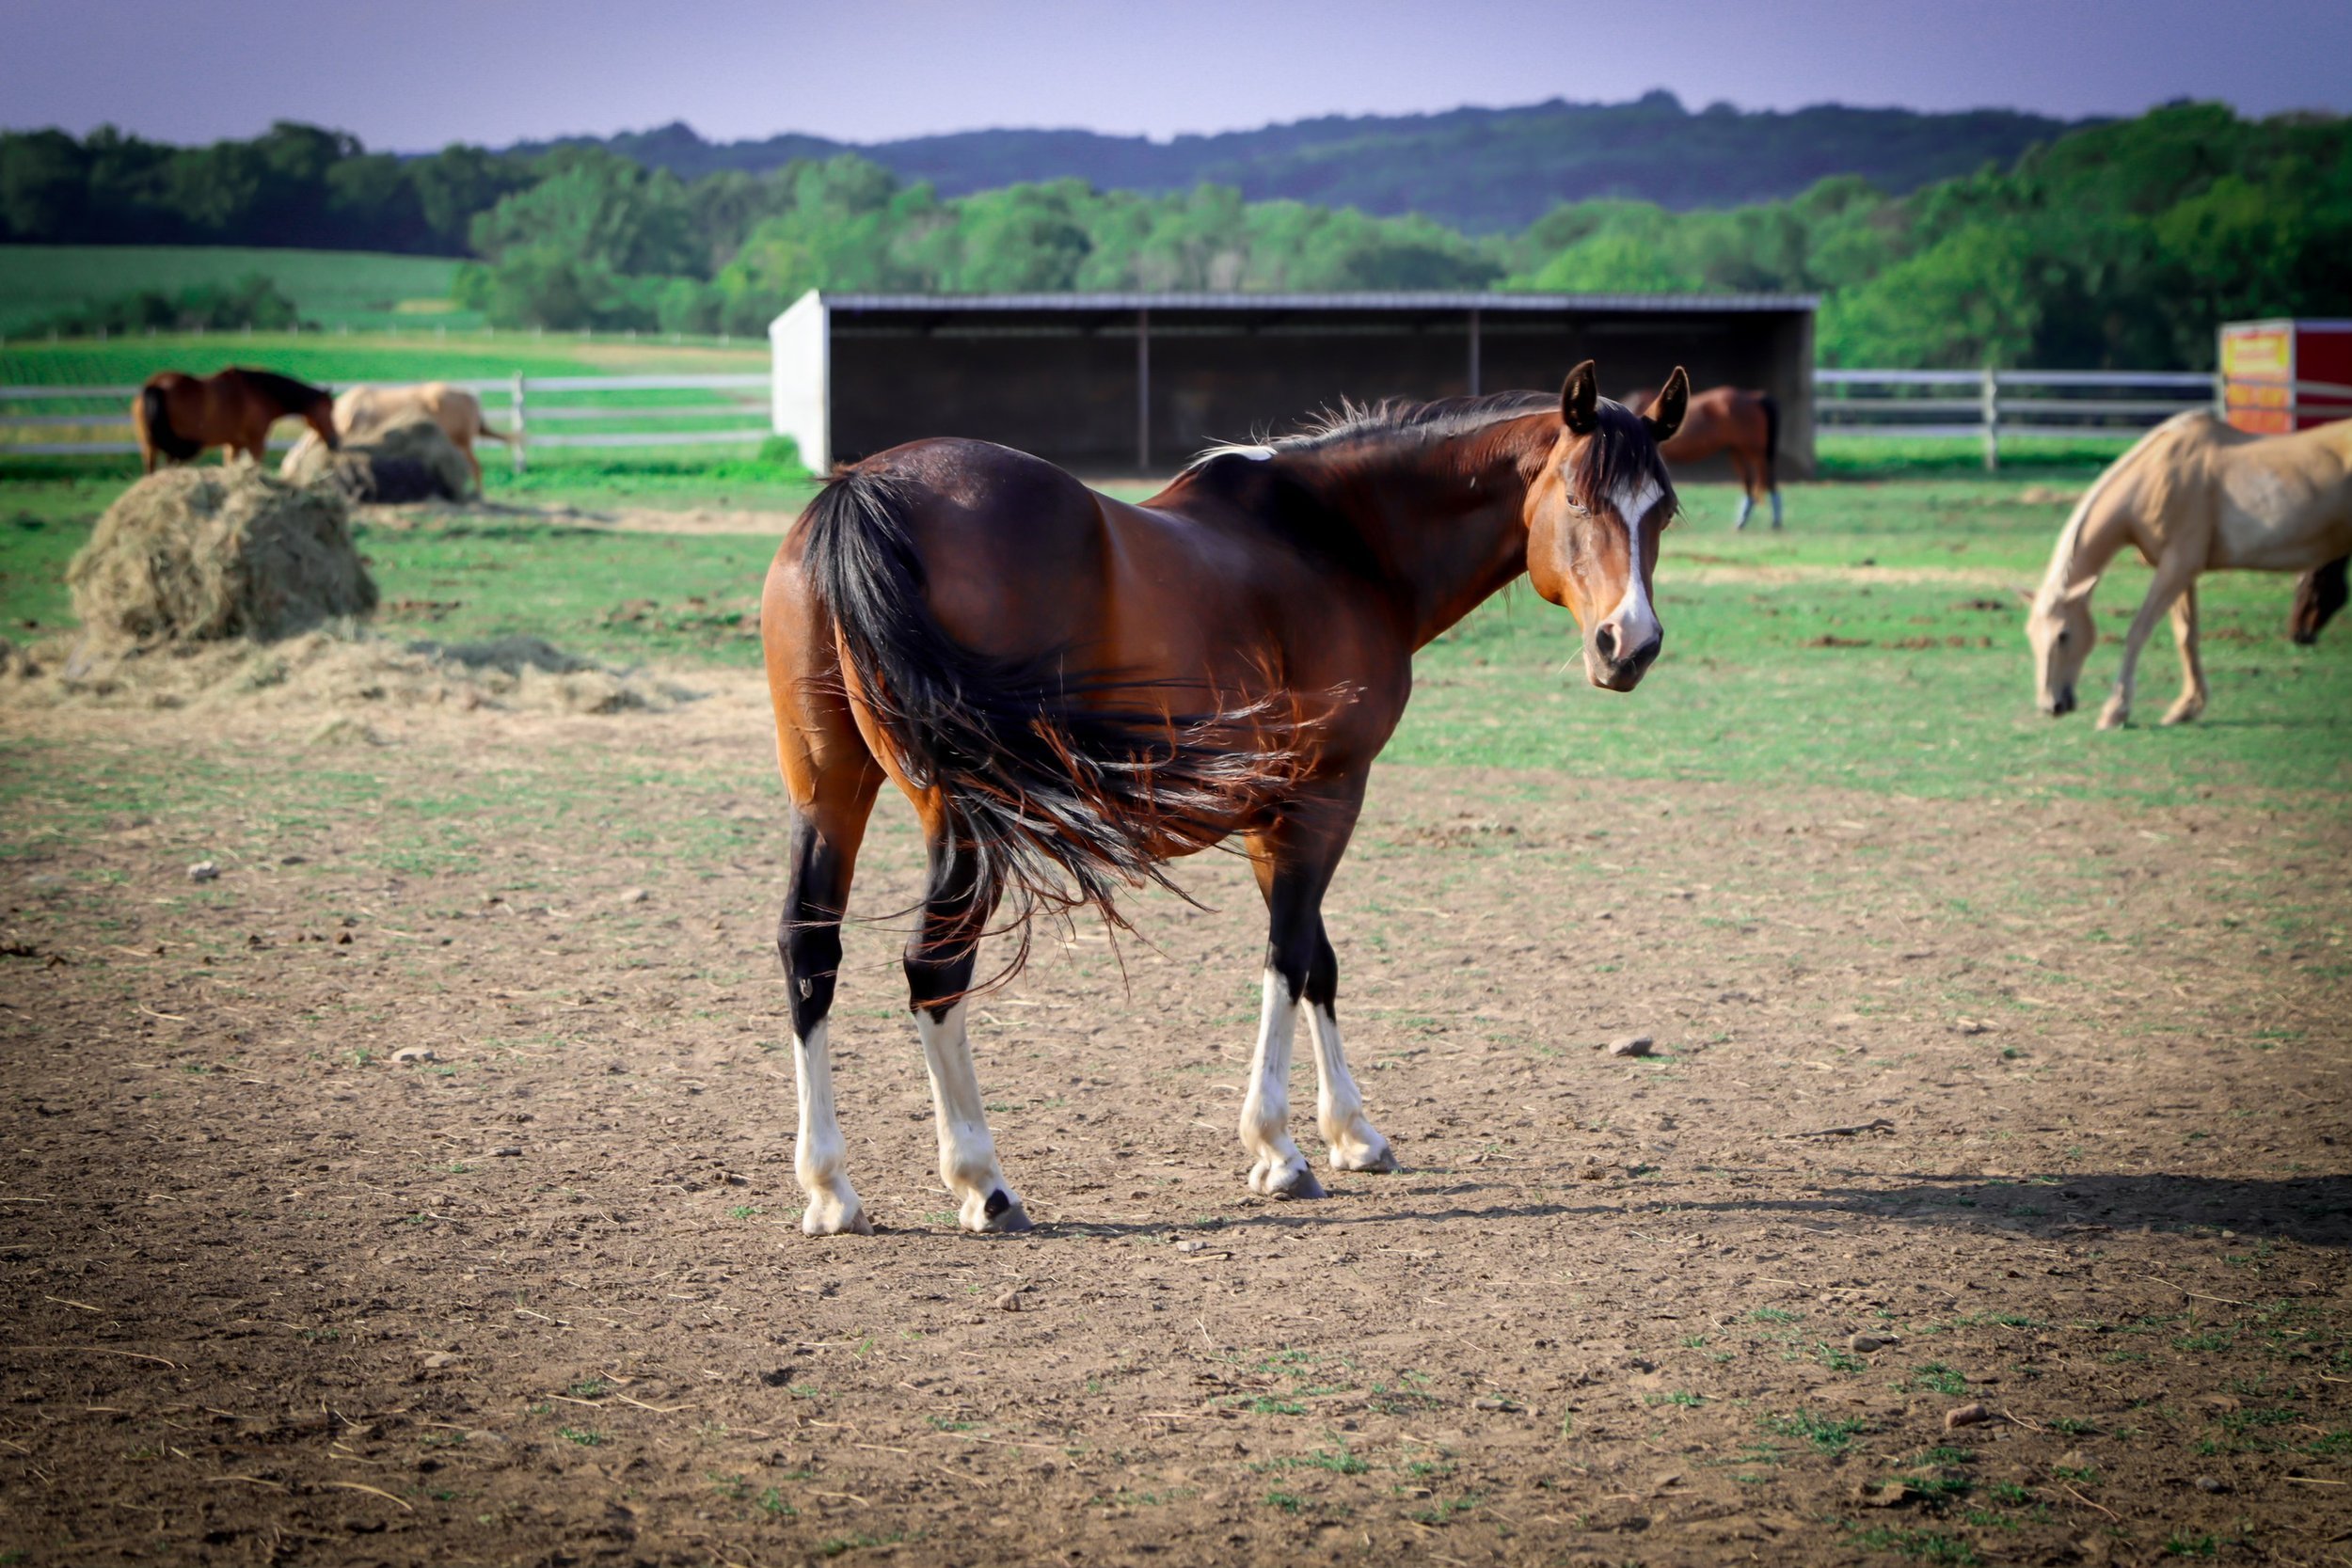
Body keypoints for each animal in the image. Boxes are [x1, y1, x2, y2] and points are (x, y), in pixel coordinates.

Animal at [133, 368, 337, 474]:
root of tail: (155, 385)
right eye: (329, 410)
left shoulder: (234, 445)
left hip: (150, 445)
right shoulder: (256, 444)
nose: (335, 442)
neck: (259, 393)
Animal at [758, 362, 1689, 1236]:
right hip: (967, 815)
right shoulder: (1328, 794)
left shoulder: (1274, 815)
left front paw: (1354, 1133)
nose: (1631, 645)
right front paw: (1279, 1148)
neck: (1339, 539)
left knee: (810, 955)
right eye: (1577, 497)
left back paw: (830, 1189)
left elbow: (1319, 960)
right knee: (936, 967)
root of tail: (863, 490)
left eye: (1665, 513)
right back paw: (983, 1182)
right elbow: (1289, 956)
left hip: (829, 793)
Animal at [1622, 383, 1780, 529]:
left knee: (1766, 479)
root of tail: (1754, 397)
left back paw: (1772, 522)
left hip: (1754, 451)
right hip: (1737, 450)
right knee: (1750, 481)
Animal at [2026, 411, 2352, 728]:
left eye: (2063, 635)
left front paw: (2116, 710)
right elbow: (2186, 636)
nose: (2051, 706)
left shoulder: (2177, 567)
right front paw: (2187, 707)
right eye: (2030, 635)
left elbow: (2138, 631)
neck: (2155, 477)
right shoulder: (2179, 572)